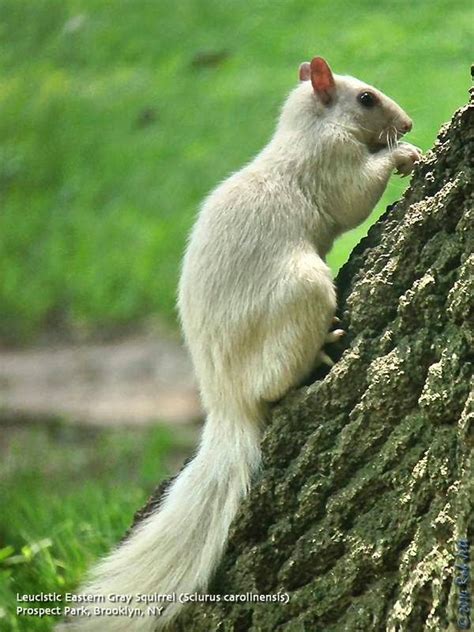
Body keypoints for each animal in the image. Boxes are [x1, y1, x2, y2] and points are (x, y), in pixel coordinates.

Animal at [60, 58, 422, 632]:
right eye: (366, 99)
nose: (406, 123)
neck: (307, 129)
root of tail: (224, 401)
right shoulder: (331, 165)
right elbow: (355, 196)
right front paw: (403, 155)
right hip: (303, 289)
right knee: (274, 384)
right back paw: (319, 352)